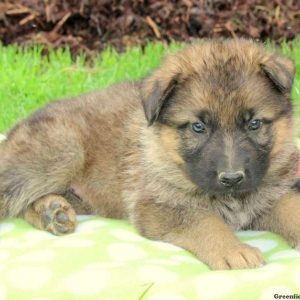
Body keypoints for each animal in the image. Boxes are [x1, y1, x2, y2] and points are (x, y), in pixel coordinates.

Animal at [0, 38, 300, 270]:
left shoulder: (271, 195)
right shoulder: (157, 206)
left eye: (254, 123)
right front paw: (233, 250)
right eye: (198, 127)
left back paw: (52, 211)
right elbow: (206, 222)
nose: (232, 178)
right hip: (63, 151)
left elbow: (290, 208)